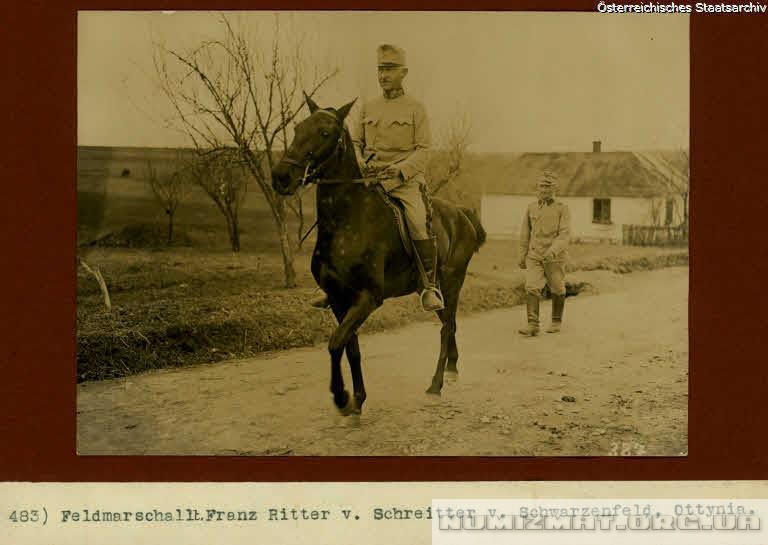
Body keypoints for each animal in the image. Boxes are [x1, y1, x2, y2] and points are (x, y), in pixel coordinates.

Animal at [272, 96, 486, 412]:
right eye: (298, 127)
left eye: (325, 132)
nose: (281, 177)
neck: (347, 221)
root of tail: (461, 213)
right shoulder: (339, 299)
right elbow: (350, 348)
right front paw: (358, 398)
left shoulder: (368, 297)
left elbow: (335, 343)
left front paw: (341, 395)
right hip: (435, 288)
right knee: (450, 324)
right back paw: (452, 368)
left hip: (452, 282)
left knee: (446, 328)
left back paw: (436, 384)